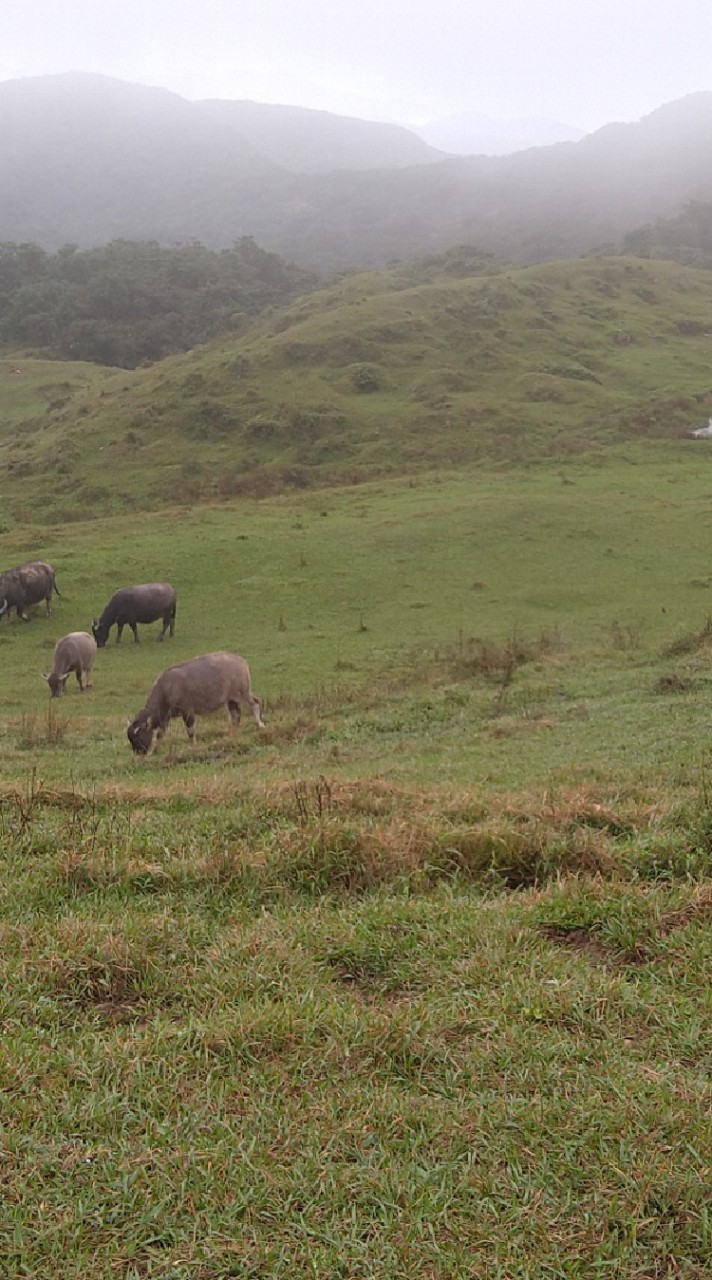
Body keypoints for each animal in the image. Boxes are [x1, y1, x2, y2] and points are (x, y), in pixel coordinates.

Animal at [126, 645, 265, 752]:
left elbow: (190, 731)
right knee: (235, 716)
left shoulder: (187, 711)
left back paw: (260, 725)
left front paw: (193, 746)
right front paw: (154, 751)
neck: (167, 687)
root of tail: (241, 661)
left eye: (138, 736)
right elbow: (160, 734)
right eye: (130, 738)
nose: (138, 752)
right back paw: (231, 736)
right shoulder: (165, 718)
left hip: (243, 693)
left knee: (255, 703)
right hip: (231, 700)